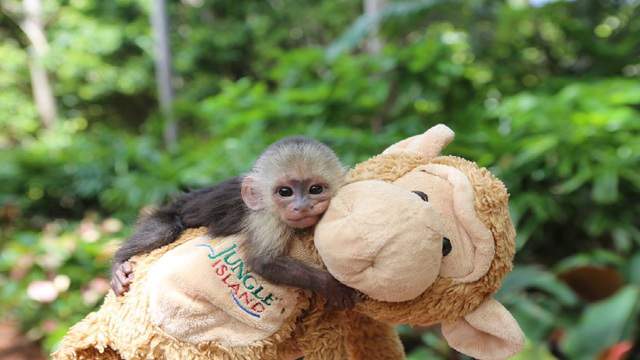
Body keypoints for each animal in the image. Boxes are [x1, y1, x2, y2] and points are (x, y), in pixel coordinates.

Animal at [112, 137, 358, 310]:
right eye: (285, 192)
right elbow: (264, 262)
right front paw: (330, 285)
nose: (302, 206)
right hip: (167, 214)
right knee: (164, 230)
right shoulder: (266, 218)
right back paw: (118, 264)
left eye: (315, 189)